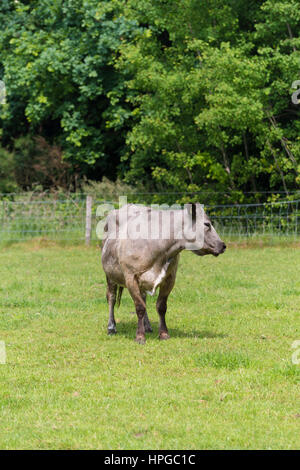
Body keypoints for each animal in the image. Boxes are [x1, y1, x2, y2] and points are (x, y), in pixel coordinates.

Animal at [101, 203, 225, 346]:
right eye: (207, 224)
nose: (223, 245)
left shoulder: (170, 278)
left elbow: (161, 306)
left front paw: (164, 334)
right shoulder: (130, 277)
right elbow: (139, 307)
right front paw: (140, 336)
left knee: (143, 297)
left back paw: (147, 326)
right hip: (110, 274)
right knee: (111, 297)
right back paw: (111, 327)